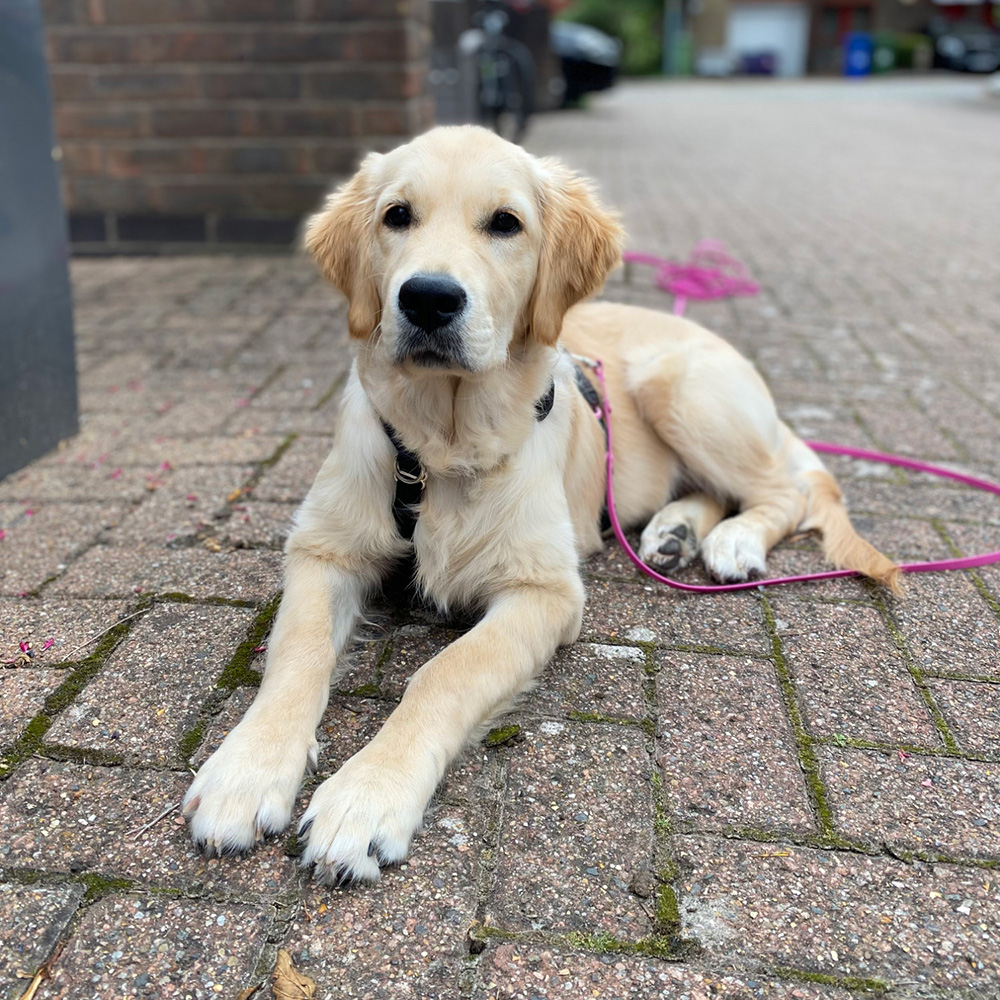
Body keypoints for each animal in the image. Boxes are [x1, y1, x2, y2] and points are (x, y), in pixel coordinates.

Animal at [182, 125, 900, 884]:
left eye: (506, 223)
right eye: (396, 216)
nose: (428, 299)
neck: (442, 448)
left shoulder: (545, 591)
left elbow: (444, 674)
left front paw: (367, 797)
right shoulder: (324, 550)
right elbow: (297, 652)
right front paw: (246, 771)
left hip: (680, 387)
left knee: (785, 491)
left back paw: (734, 541)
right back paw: (675, 533)